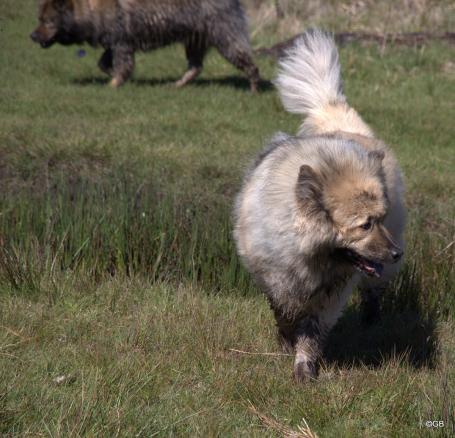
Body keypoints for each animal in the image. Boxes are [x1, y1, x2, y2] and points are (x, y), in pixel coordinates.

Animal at [235, 30, 406, 380]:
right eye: (364, 225)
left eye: (380, 219)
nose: (397, 253)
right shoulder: (275, 281)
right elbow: (285, 315)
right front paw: (286, 343)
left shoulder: (331, 294)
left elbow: (312, 331)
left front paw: (305, 366)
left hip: (379, 271)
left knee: (374, 292)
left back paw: (371, 321)